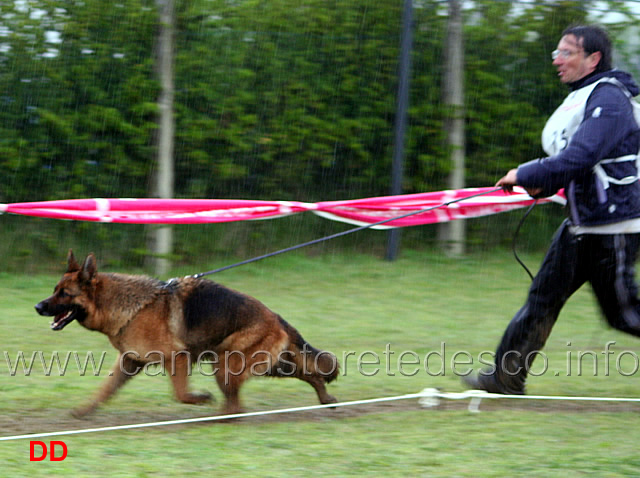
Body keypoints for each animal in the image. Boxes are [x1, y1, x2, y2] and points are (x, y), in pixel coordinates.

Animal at [35, 252, 338, 416]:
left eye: (64, 294)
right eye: (54, 290)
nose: (38, 306)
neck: (127, 305)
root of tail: (275, 316)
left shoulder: (176, 358)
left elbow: (181, 394)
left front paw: (200, 399)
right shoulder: (130, 361)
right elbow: (105, 391)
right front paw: (85, 410)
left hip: (226, 366)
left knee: (236, 405)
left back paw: (218, 418)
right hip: (263, 365)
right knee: (309, 374)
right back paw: (326, 399)